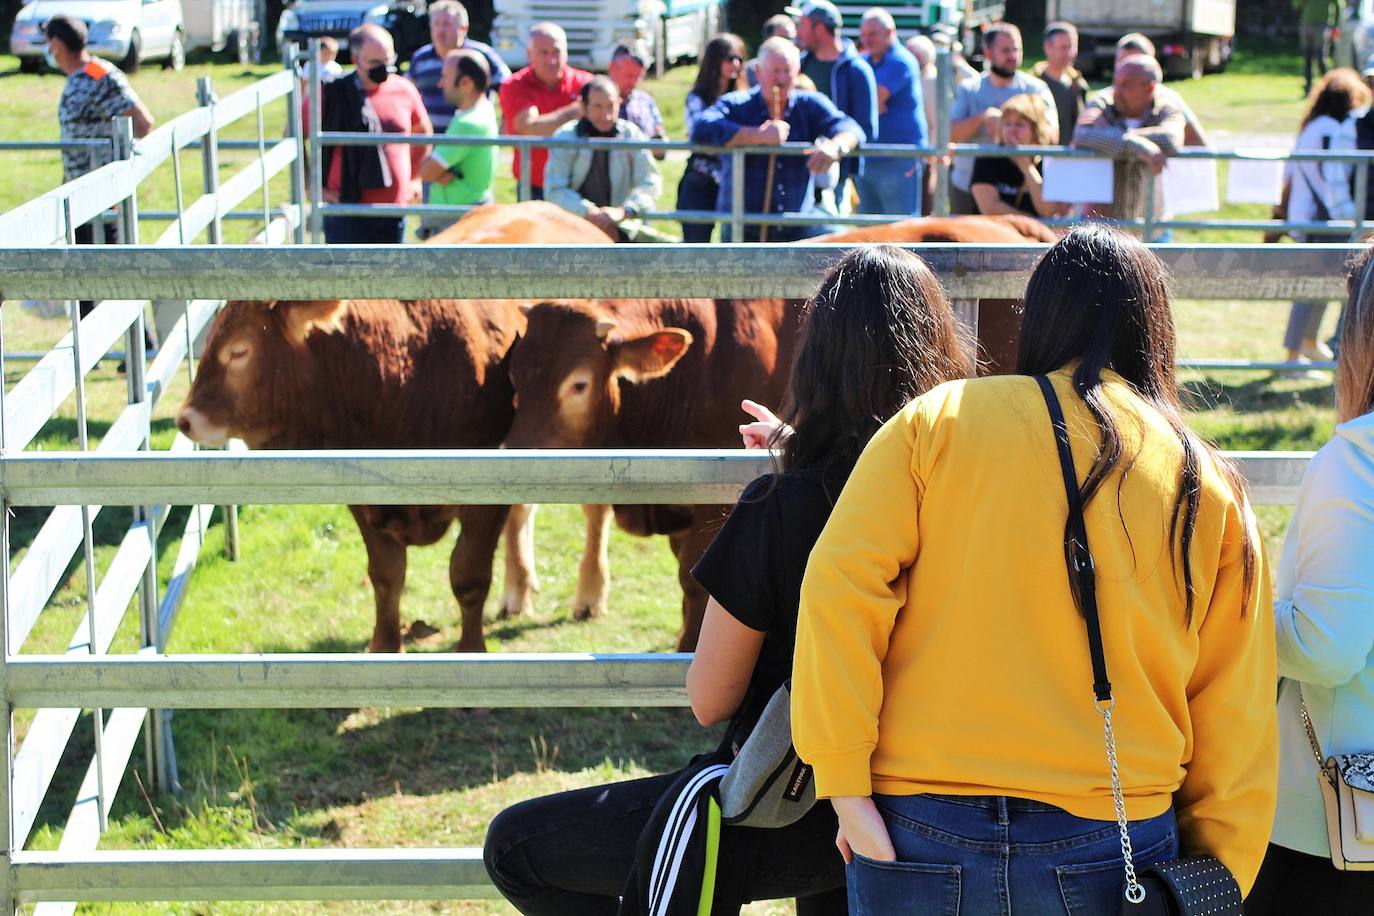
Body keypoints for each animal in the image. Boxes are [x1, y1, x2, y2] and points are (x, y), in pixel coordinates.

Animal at [173, 200, 607, 650]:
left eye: (239, 351)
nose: (185, 419)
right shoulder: (367, 499)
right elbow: (386, 577)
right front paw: (383, 646)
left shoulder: (486, 498)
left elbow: (468, 577)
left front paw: (471, 649)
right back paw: (518, 589)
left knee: (595, 515)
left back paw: (589, 594)